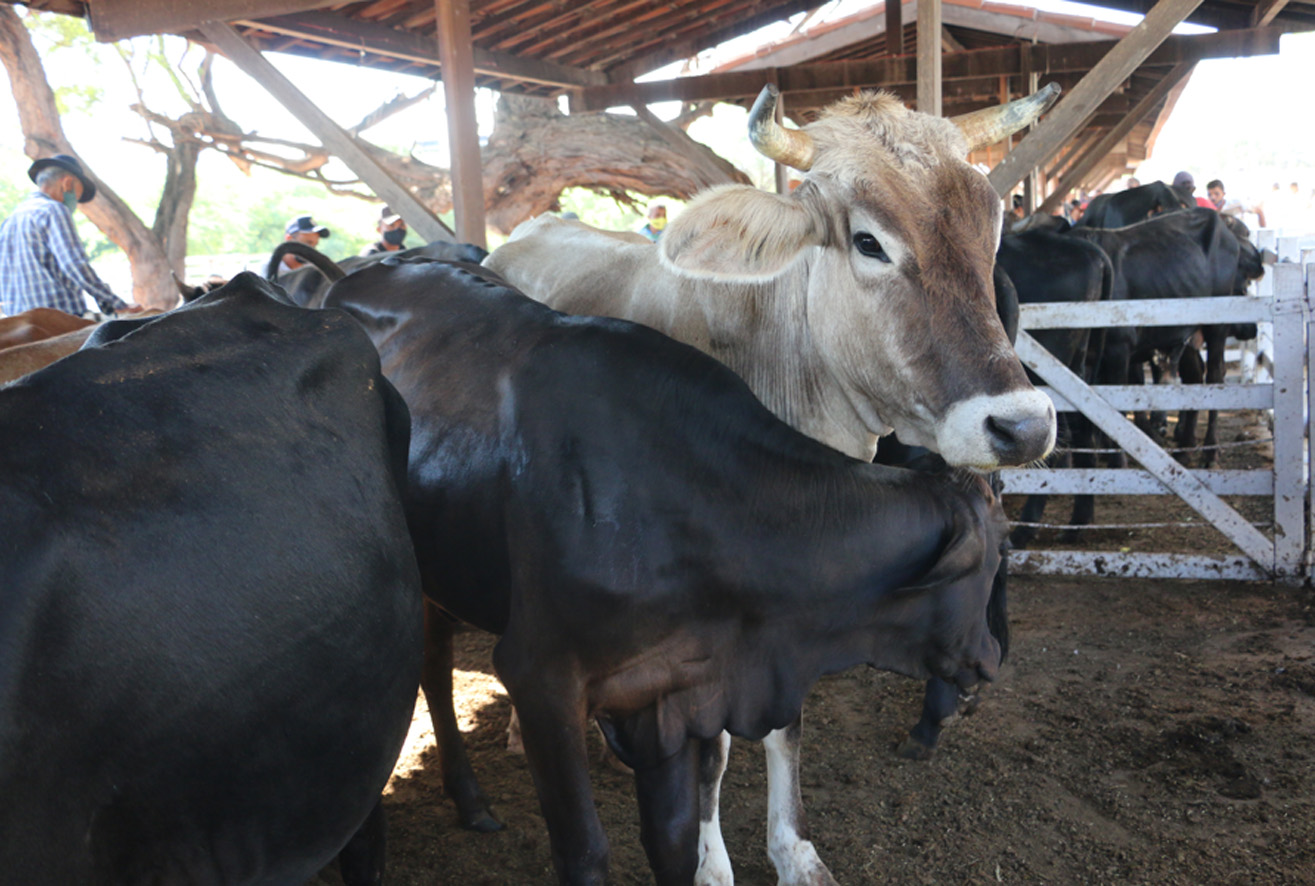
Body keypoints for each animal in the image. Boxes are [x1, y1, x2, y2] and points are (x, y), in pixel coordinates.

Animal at [320, 255, 1004, 883]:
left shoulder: (670, 688)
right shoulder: (539, 676)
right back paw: (463, 799)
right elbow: (585, 852)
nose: (991, 659)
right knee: (432, 671)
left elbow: (674, 840)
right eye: (991, 562)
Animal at [481, 82, 1057, 883]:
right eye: (868, 241)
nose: (1022, 426)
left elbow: (788, 726)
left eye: (991, 229)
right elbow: (714, 751)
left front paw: (794, 852)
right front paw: (710, 863)